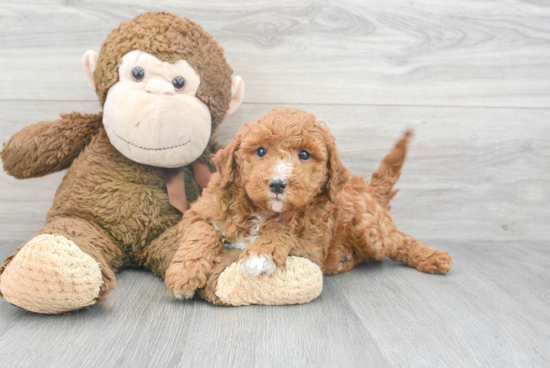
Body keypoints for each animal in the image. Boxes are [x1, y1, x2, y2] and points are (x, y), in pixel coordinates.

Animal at [167, 106, 452, 300]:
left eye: (304, 155)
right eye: (261, 151)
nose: (278, 183)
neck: (262, 211)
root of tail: (366, 189)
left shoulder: (313, 243)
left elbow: (284, 230)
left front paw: (260, 253)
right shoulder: (198, 212)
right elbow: (201, 231)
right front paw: (184, 274)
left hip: (372, 233)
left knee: (399, 241)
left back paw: (435, 257)